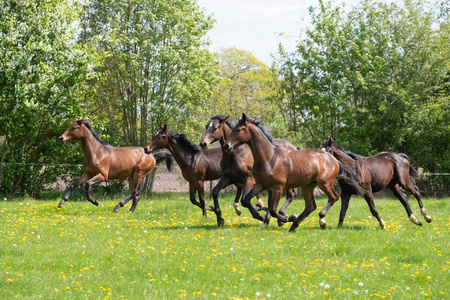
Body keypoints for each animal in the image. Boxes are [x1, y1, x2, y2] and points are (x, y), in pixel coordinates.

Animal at [222, 113, 366, 232]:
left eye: (239, 129)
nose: (226, 146)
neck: (269, 158)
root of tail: (333, 159)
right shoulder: (261, 184)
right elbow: (245, 200)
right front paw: (262, 217)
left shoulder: (278, 187)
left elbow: (273, 210)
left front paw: (285, 218)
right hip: (307, 186)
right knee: (311, 206)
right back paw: (294, 226)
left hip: (324, 183)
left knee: (333, 198)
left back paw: (321, 221)